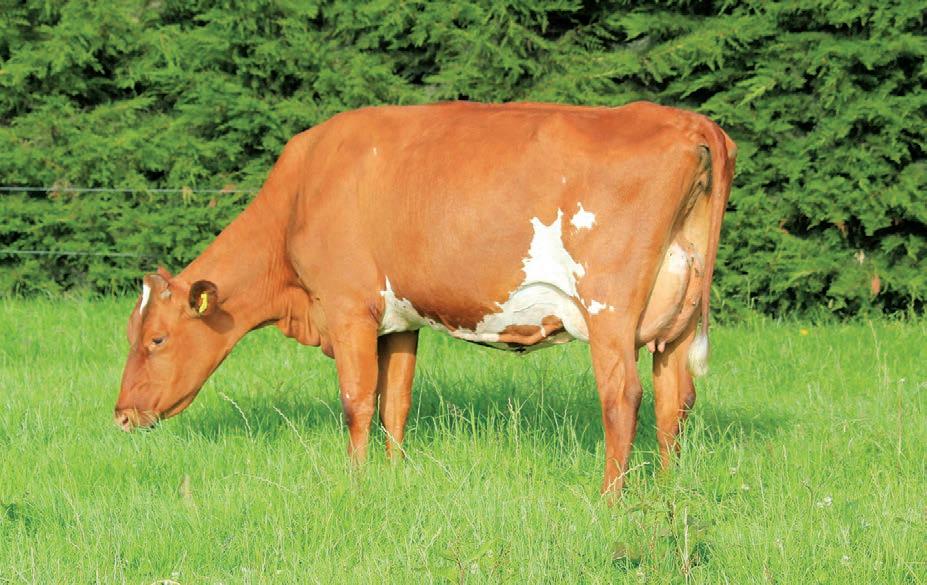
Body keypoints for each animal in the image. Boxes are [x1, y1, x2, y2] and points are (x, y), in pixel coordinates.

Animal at [114, 101, 736, 493]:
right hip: (675, 321)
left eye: (157, 339)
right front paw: (392, 475)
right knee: (674, 400)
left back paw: (611, 500)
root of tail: (684, 120)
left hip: (609, 312)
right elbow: (397, 402)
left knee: (622, 397)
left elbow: (357, 402)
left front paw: (356, 484)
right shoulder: (399, 320)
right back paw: (665, 491)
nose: (121, 416)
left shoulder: (349, 310)